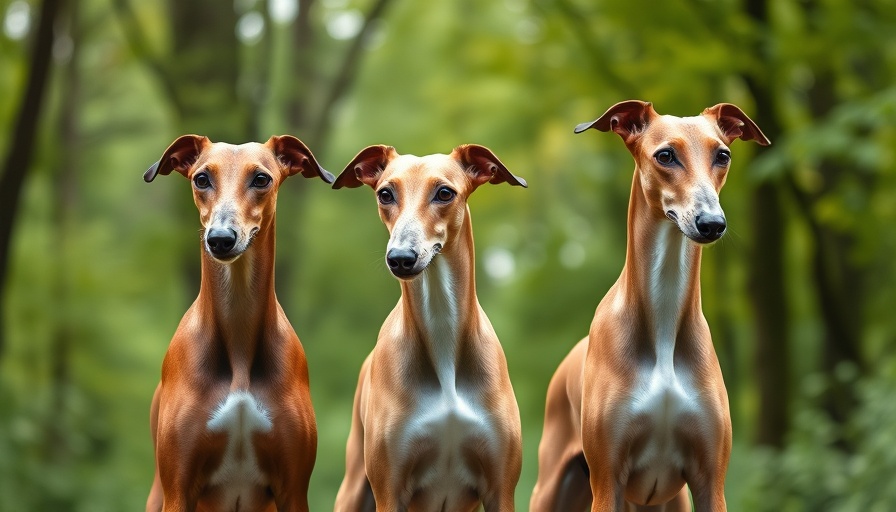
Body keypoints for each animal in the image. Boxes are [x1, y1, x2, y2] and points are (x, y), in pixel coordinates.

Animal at [144, 135, 332, 512]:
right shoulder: (178, 489)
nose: (220, 238)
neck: (239, 331)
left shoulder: (294, 490)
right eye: (201, 178)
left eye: (261, 179)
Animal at [328, 144, 524, 512]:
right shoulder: (389, 490)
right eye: (385, 194)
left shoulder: (501, 488)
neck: (441, 326)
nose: (400, 258)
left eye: (444, 192)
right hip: (354, 487)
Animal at [532, 101, 768, 512]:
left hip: (669, 500)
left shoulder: (711, 481)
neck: (664, 319)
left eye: (723, 155)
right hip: (552, 489)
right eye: (666, 155)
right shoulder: (607, 481)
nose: (712, 223)